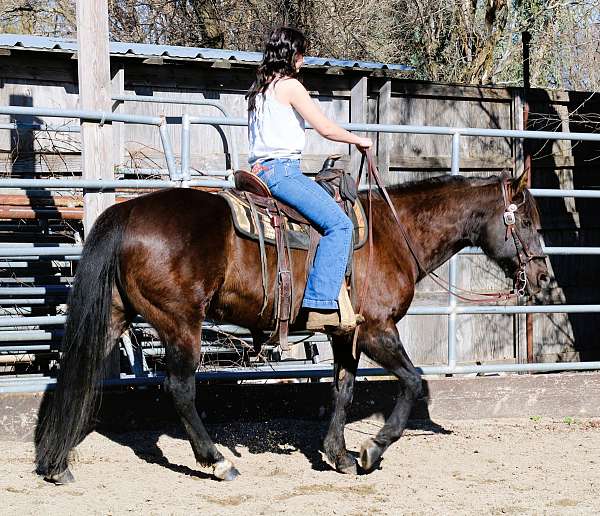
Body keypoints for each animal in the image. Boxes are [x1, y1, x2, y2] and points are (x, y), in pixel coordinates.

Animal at [32, 169, 548, 484]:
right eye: (527, 222)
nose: (542, 278)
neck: (392, 234)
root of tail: (127, 211)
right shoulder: (378, 330)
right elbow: (413, 382)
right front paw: (372, 451)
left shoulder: (346, 335)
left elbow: (342, 390)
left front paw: (338, 454)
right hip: (181, 323)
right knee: (179, 388)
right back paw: (217, 461)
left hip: (115, 317)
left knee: (79, 375)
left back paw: (56, 463)